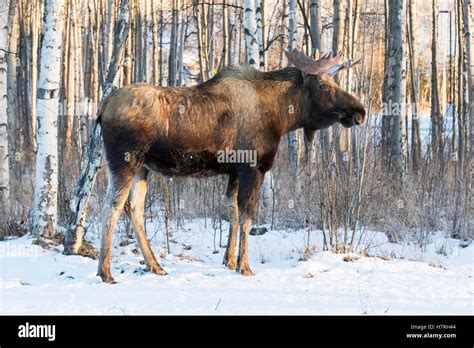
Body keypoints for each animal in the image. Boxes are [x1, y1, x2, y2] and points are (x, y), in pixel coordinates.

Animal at [96, 49, 364, 282]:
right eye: (324, 85)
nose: (359, 111)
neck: (281, 117)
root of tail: (103, 107)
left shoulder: (234, 171)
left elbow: (232, 212)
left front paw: (229, 260)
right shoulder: (253, 168)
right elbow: (247, 217)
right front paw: (244, 266)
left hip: (143, 167)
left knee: (134, 208)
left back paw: (155, 266)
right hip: (124, 161)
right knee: (111, 206)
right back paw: (106, 272)